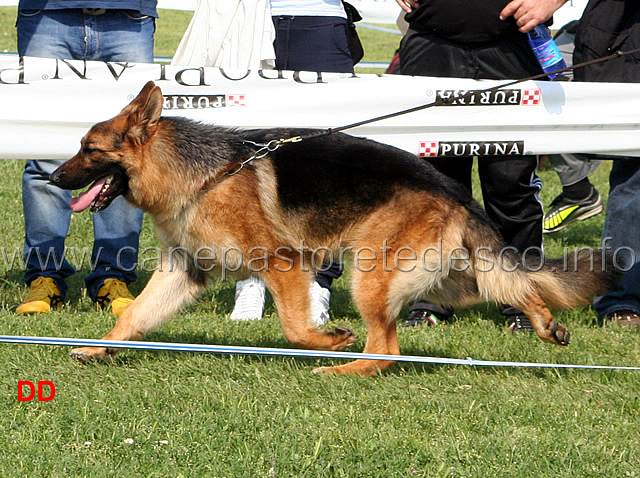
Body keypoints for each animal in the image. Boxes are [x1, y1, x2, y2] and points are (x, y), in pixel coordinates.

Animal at [51, 80, 620, 376]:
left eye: (89, 150)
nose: (53, 178)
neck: (204, 175)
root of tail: (454, 192)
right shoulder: (185, 271)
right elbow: (133, 316)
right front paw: (98, 348)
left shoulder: (283, 265)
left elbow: (294, 327)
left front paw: (328, 339)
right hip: (448, 280)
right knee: (515, 285)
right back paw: (544, 323)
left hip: (372, 277)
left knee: (386, 350)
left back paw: (340, 368)